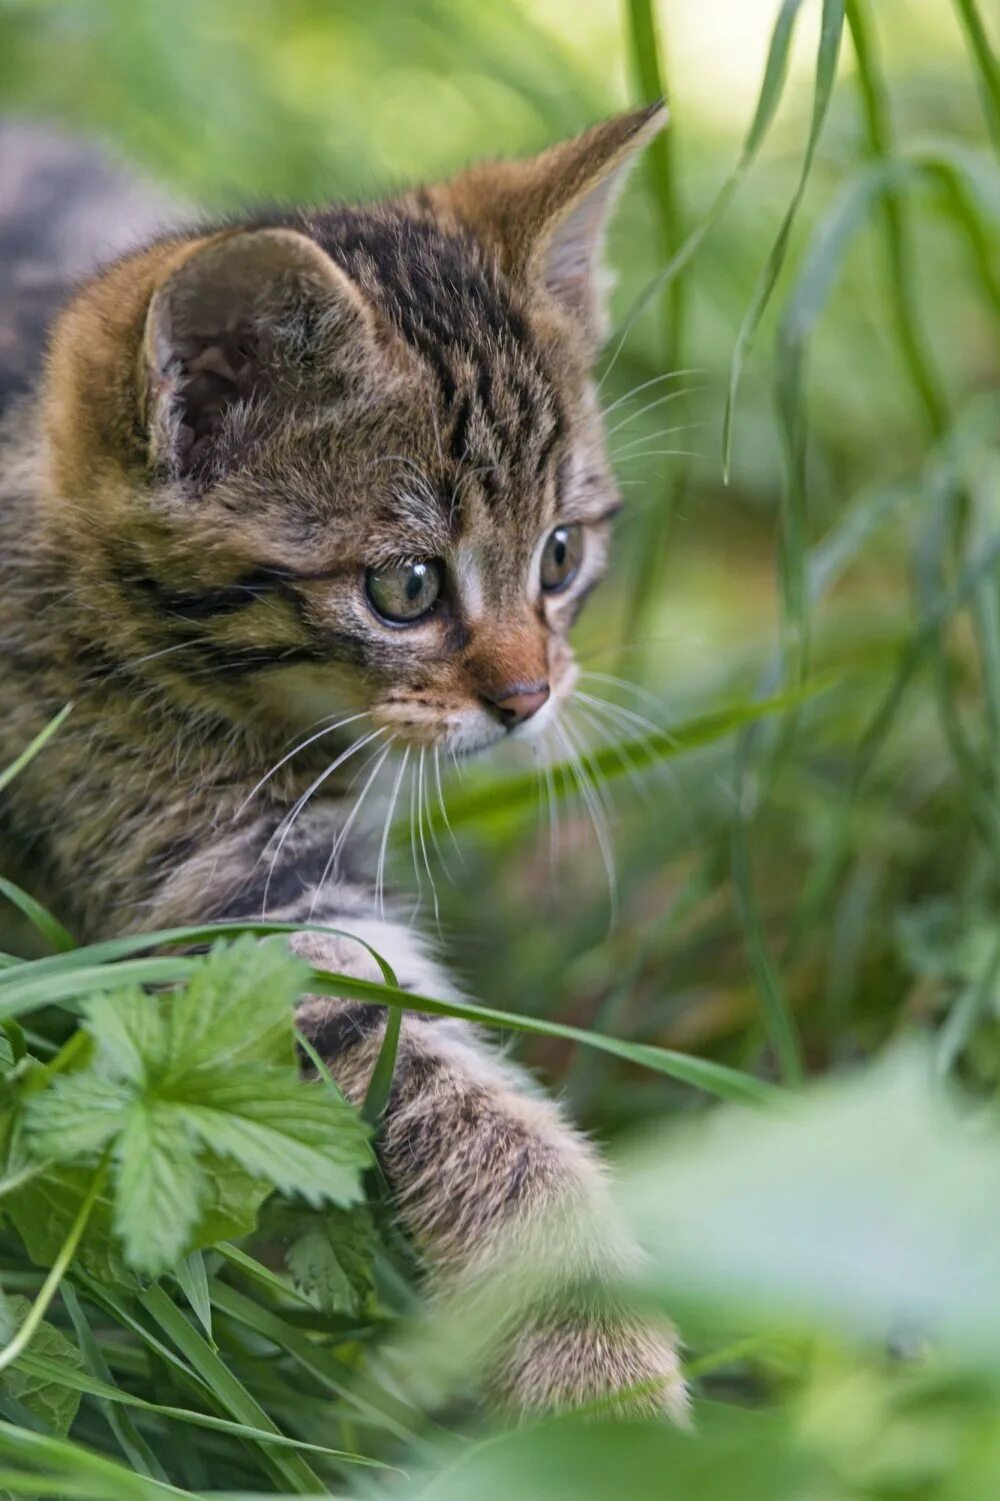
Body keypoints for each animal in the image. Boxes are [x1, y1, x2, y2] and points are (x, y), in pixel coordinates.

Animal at [0, 108, 684, 1416]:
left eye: (559, 557)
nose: (529, 700)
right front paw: (599, 1370)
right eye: (405, 586)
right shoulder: (227, 900)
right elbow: (440, 1086)